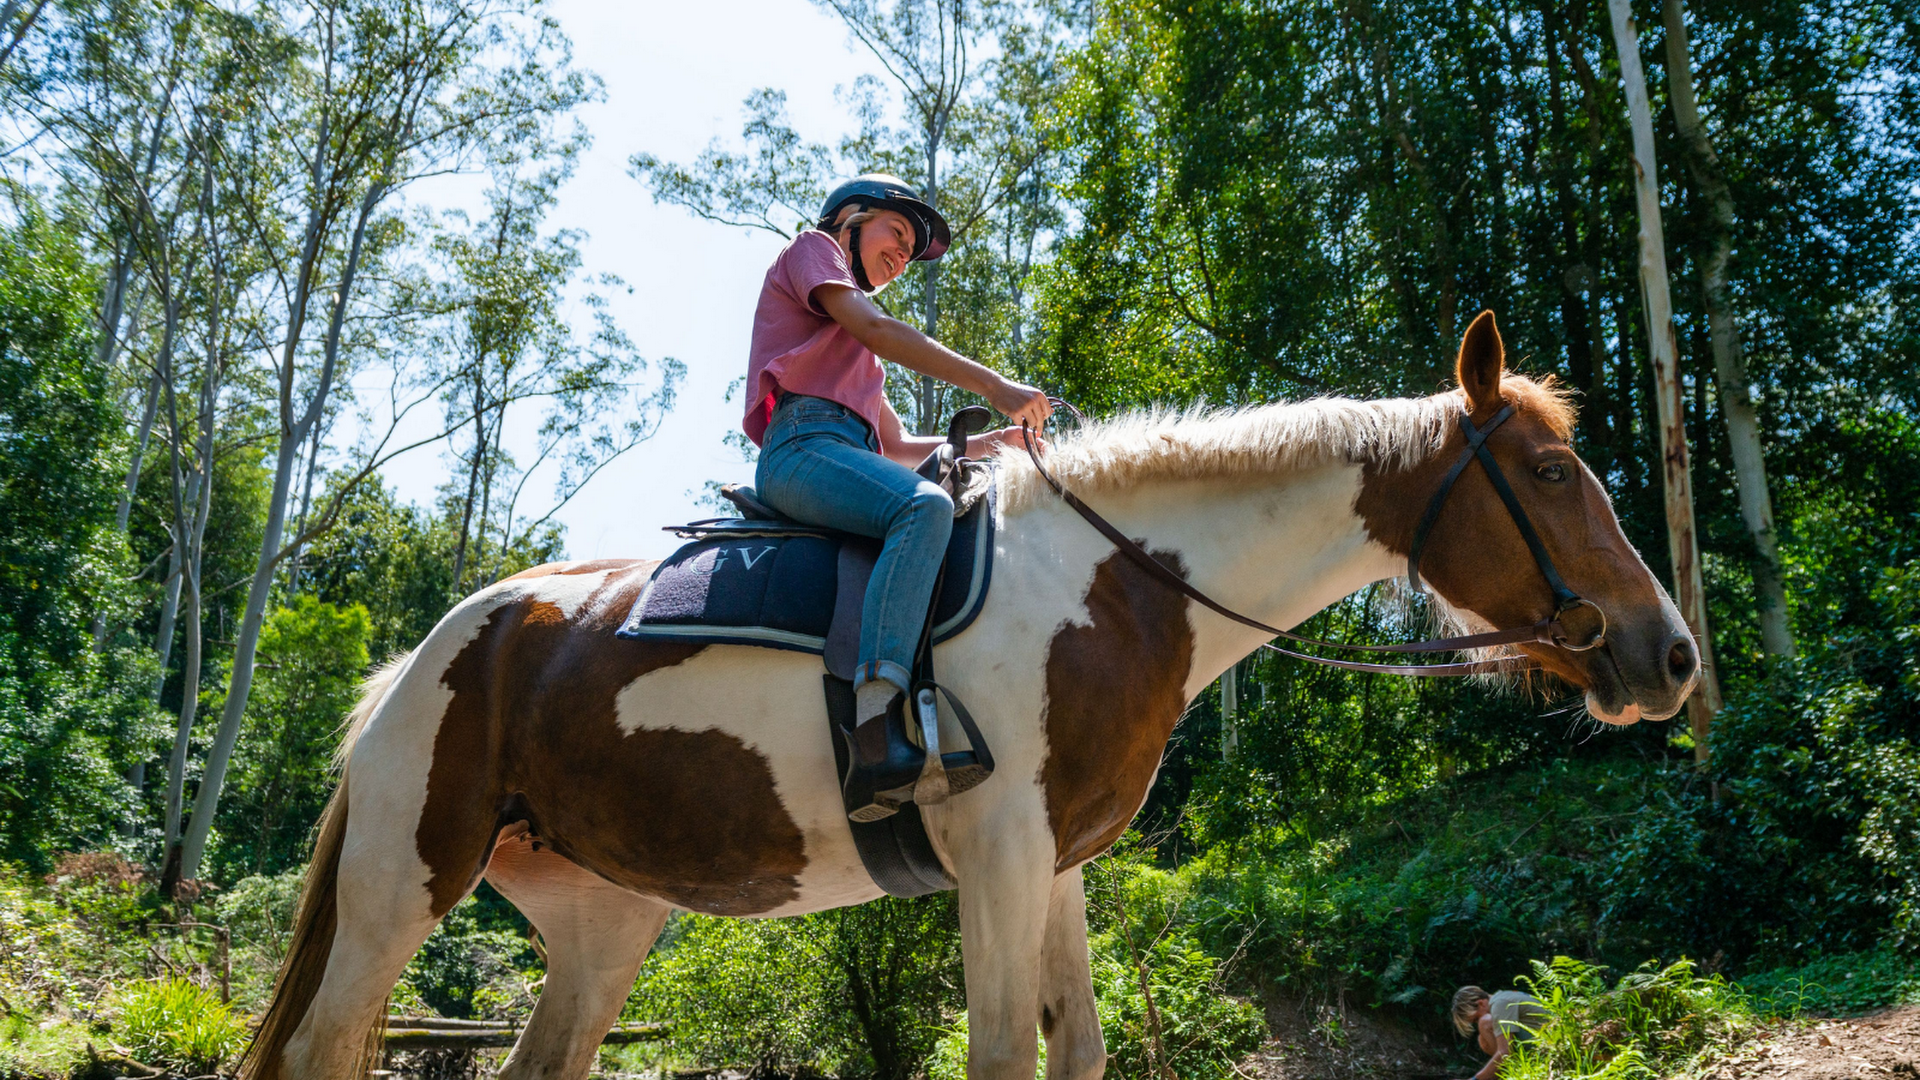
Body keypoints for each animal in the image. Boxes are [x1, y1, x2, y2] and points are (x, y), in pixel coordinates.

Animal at [241, 311, 1699, 1080]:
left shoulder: (1055, 870)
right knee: (323, 1047)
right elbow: (1002, 1055)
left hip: (602, 921)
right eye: (1552, 473)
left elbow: (1078, 1052)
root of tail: (420, 661)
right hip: (400, 886)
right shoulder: (994, 860)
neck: (1112, 586)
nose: (1671, 653)